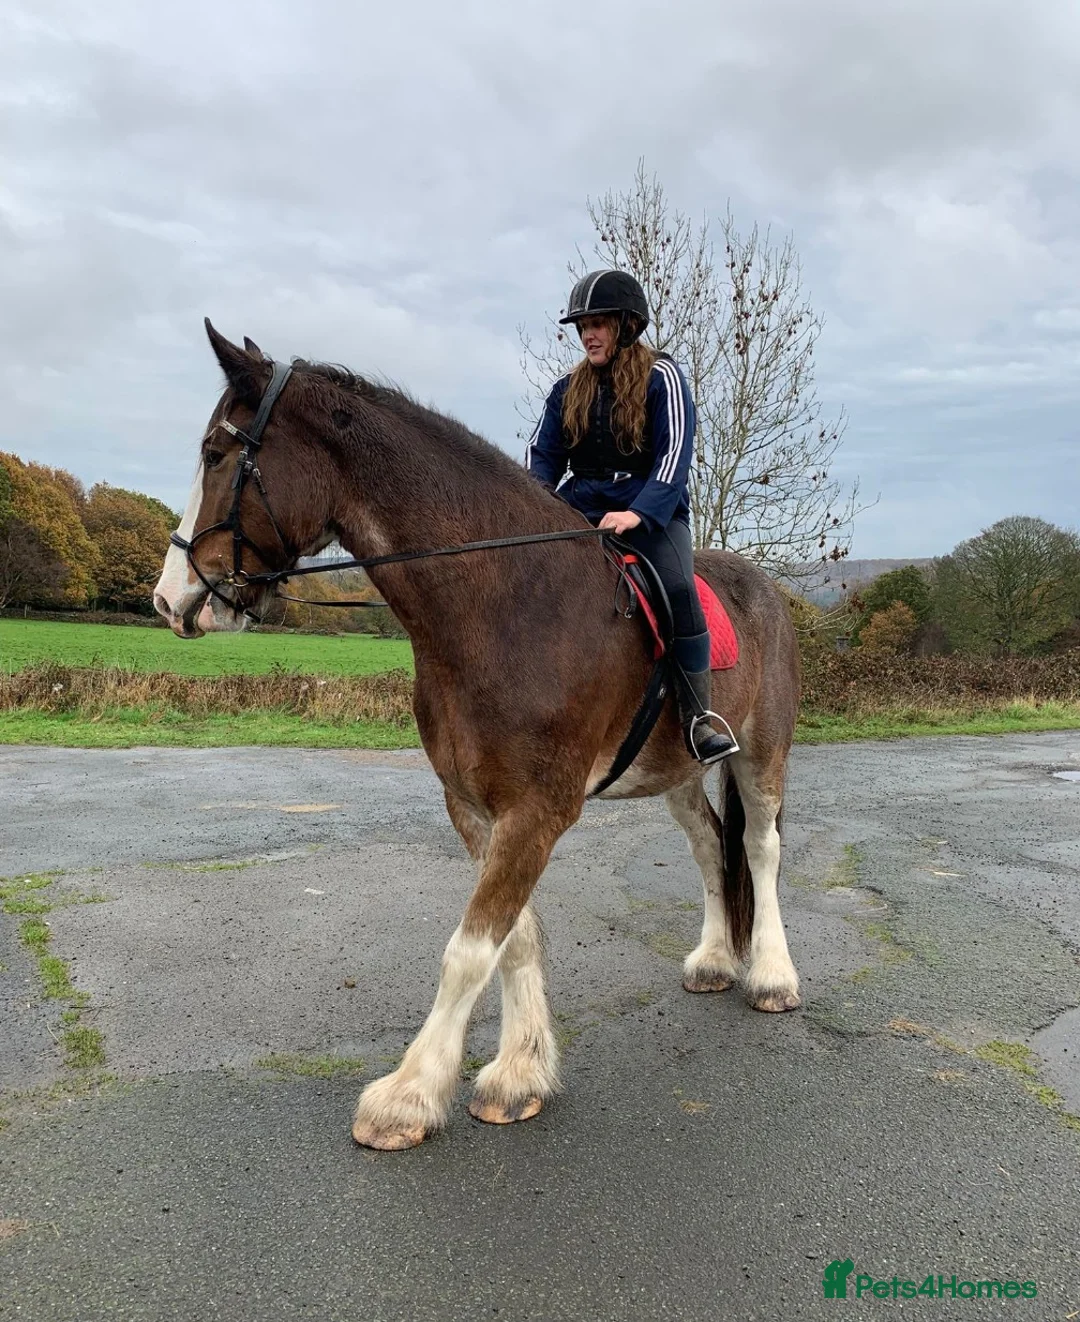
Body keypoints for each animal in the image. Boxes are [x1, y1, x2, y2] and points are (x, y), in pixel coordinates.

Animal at [153, 322, 802, 1151]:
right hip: (679, 772)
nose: (170, 600)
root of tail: (770, 590)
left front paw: (408, 1096)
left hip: (761, 751)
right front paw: (518, 1076)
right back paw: (717, 958)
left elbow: (468, 950)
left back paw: (773, 977)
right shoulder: (475, 807)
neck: (503, 604)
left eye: (215, 453)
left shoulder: (537, 811)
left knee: (758, 846)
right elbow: (512, 938)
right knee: (709, 846)